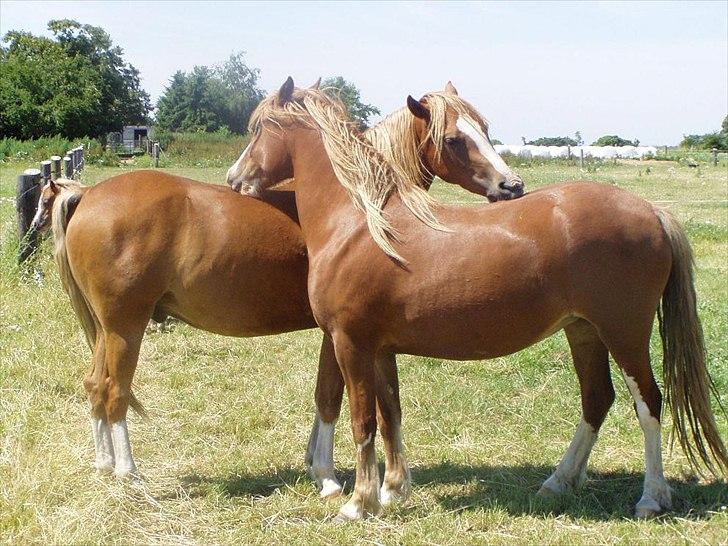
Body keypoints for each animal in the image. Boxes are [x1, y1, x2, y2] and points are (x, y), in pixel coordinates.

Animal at [32, 86, 524, 488]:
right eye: (455, 139)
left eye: (484, 129)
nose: (513, 185)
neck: (356, 209)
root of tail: (88, 196)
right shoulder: (340, 332)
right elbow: (330, 397)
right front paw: (326, 476)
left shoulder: (337, 332)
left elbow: (328, 394)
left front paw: (316, 464)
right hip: (125, 328)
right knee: (114, 391)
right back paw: (127, 472)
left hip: (106, 328)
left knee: (95, 385)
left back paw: (102, 464)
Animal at [237, 77, 728, 520]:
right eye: (455, 139)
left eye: (256, 129)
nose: (235, 177)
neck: (361, 222)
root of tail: (652, 212)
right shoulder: (379, 348)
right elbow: (390, 413)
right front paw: (392, 493)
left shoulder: (350, 343)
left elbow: (363, 421)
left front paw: (358, 505)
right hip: (583, 331)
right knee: (597, 399)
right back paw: (557, 482)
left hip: (624, 333)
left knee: (649, 404)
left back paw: (651, 498)